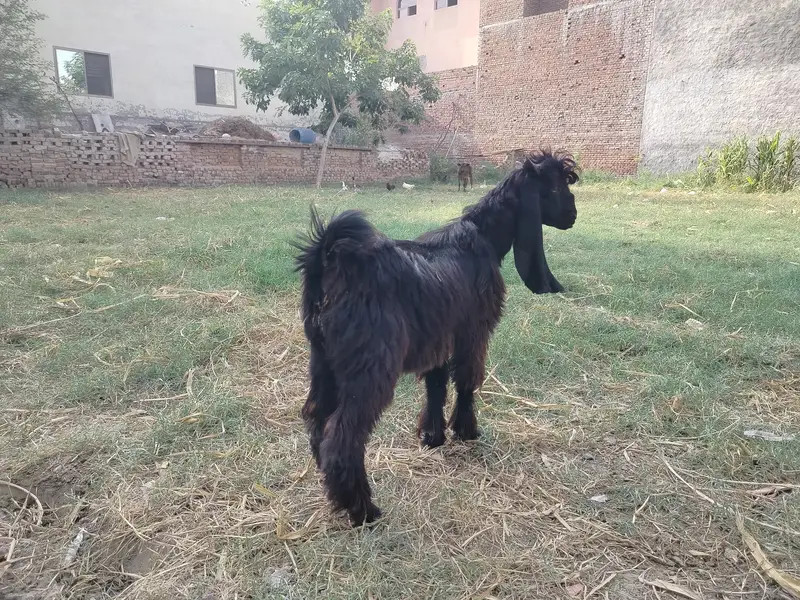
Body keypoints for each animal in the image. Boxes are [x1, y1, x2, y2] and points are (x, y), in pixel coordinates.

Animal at [293, 150, 579, 526]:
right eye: (557, 185)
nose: (573, 215)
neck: (483, 238)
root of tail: (329, 261)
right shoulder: (475, 334)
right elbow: (468, 381)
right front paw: (467, 431)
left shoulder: (439, 339)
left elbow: (436, 385)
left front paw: (433, 436)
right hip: (370, 367)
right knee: (343, 436)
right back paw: (363, 509)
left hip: (323, 361)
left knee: (317, 420)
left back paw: (334, 492)